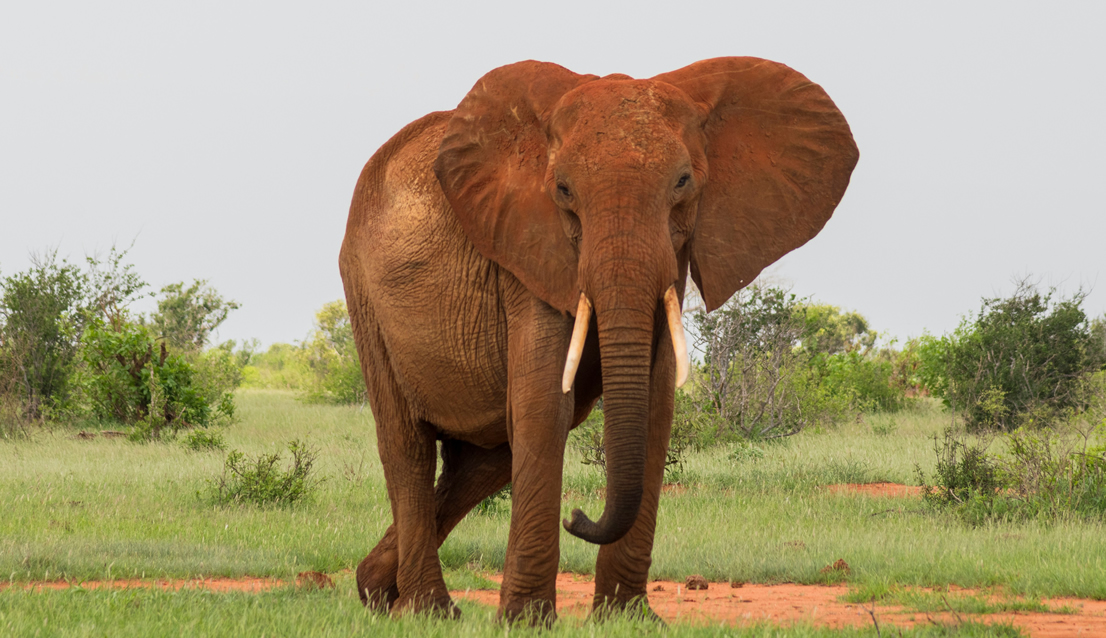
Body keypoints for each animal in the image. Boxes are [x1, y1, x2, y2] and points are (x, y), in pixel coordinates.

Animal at [339, 57, 858, 624]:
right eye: (563, 190)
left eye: (683, 182)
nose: (577, 515)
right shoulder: (527, 250)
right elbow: (546, 405)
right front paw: (526, 622)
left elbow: (654, 405)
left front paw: (628, 618)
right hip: (363, 292)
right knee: (407, 446)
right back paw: (426, 611)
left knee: (483, 462)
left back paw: (375, 590)